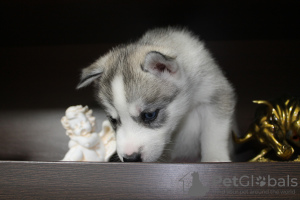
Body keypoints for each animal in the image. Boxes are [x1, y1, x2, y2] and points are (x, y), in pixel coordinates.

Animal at [78, 27, 237, 162]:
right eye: (113, 120)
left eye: (149, 115)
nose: (130, 158)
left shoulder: (215, 94)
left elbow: (214, 133)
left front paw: (215, 158)